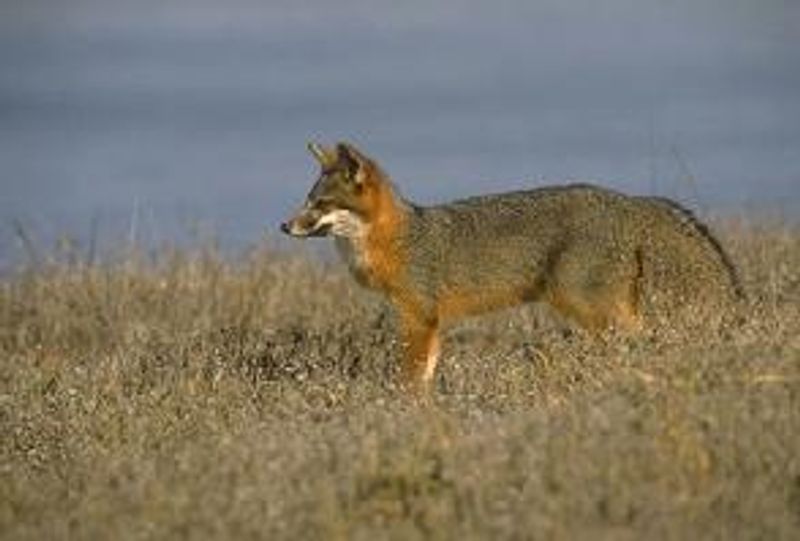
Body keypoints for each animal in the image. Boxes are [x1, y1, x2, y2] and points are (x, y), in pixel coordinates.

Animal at [281, 141, 742, 392]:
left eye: (320, 204)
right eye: (307, 201)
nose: (284, 226)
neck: (397, 240)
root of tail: (627, 200)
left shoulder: (419, 319)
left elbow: (410, 379)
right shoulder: (431, 324)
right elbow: (428, 375)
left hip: (590, 309)